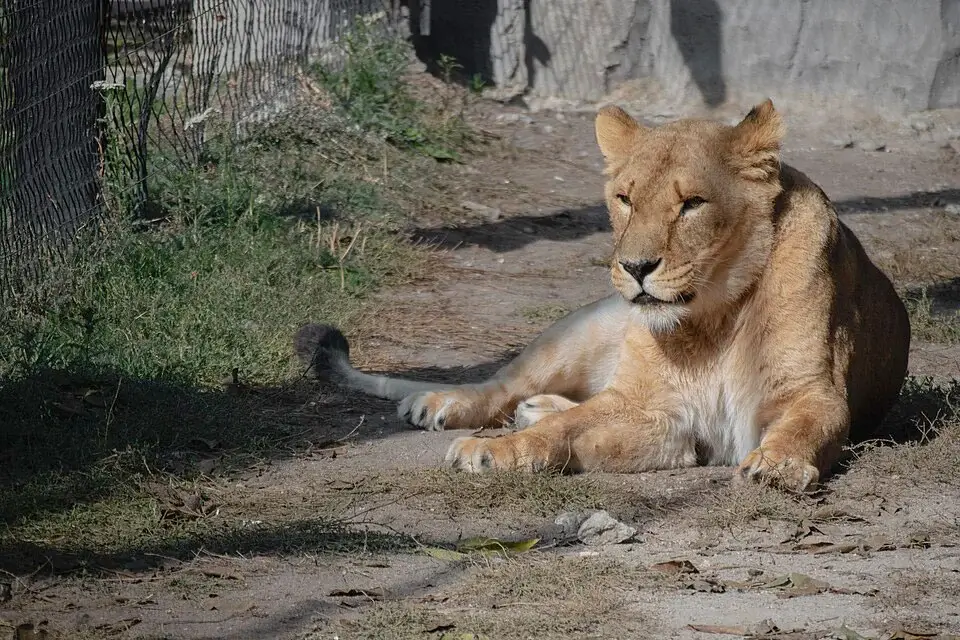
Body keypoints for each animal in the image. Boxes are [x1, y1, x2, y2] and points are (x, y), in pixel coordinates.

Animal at [294, 99, 910, 492]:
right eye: (624, 199)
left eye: (692, 204)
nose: (635, 267)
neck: (713, 314)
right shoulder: (651, 406)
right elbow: (563, 432)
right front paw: (492, 451)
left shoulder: (806, 395)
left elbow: (806, 426)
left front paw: (778, 466)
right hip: (577, 331)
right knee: (503, 384)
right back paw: (445, 404)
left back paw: (532, 407)